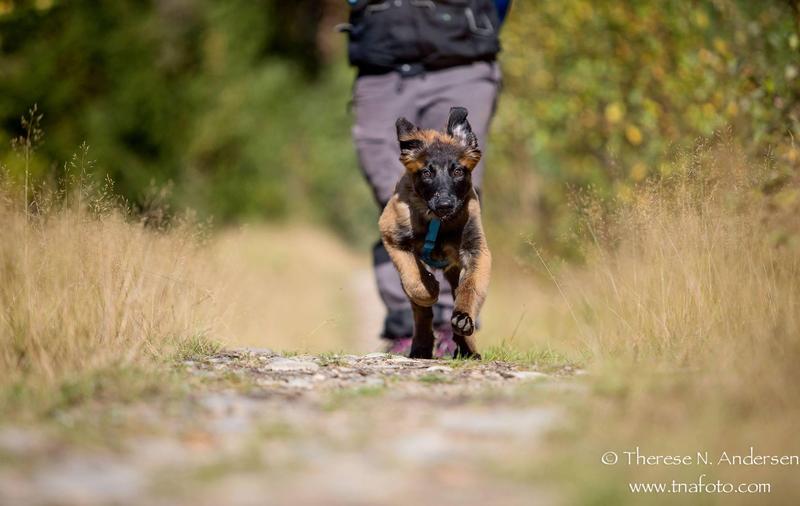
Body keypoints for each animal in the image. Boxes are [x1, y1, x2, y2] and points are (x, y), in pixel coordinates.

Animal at [378, 107, 490, 360]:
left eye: (457, 171)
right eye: (427, 173)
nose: (445, 204)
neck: (438, 223)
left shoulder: (477, 251)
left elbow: (470, 287)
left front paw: (463, 318)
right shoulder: (393, 238)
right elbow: (414, 279)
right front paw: (429, 289)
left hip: (455, 270)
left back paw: (467, 348)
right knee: (421, 313)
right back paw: (421, 346)